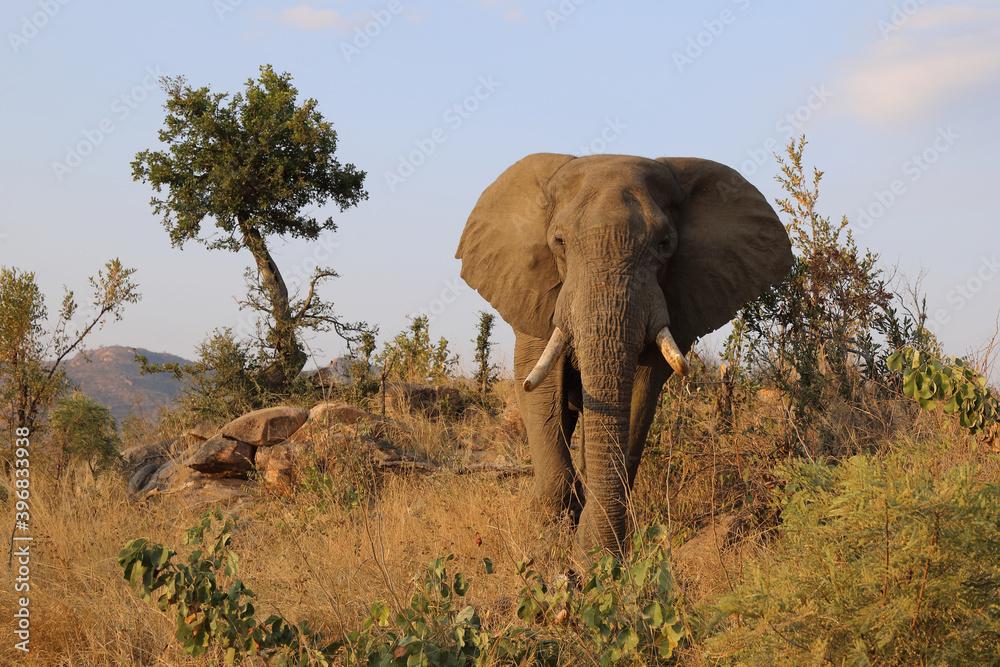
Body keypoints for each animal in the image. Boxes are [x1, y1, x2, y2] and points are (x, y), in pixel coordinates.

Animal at [455, 153, 793, 557]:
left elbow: (641, 390)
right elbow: (538, 389)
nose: (593, 554)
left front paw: (595, 556)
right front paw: (550, 539)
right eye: (559, 242)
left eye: (665, 244)